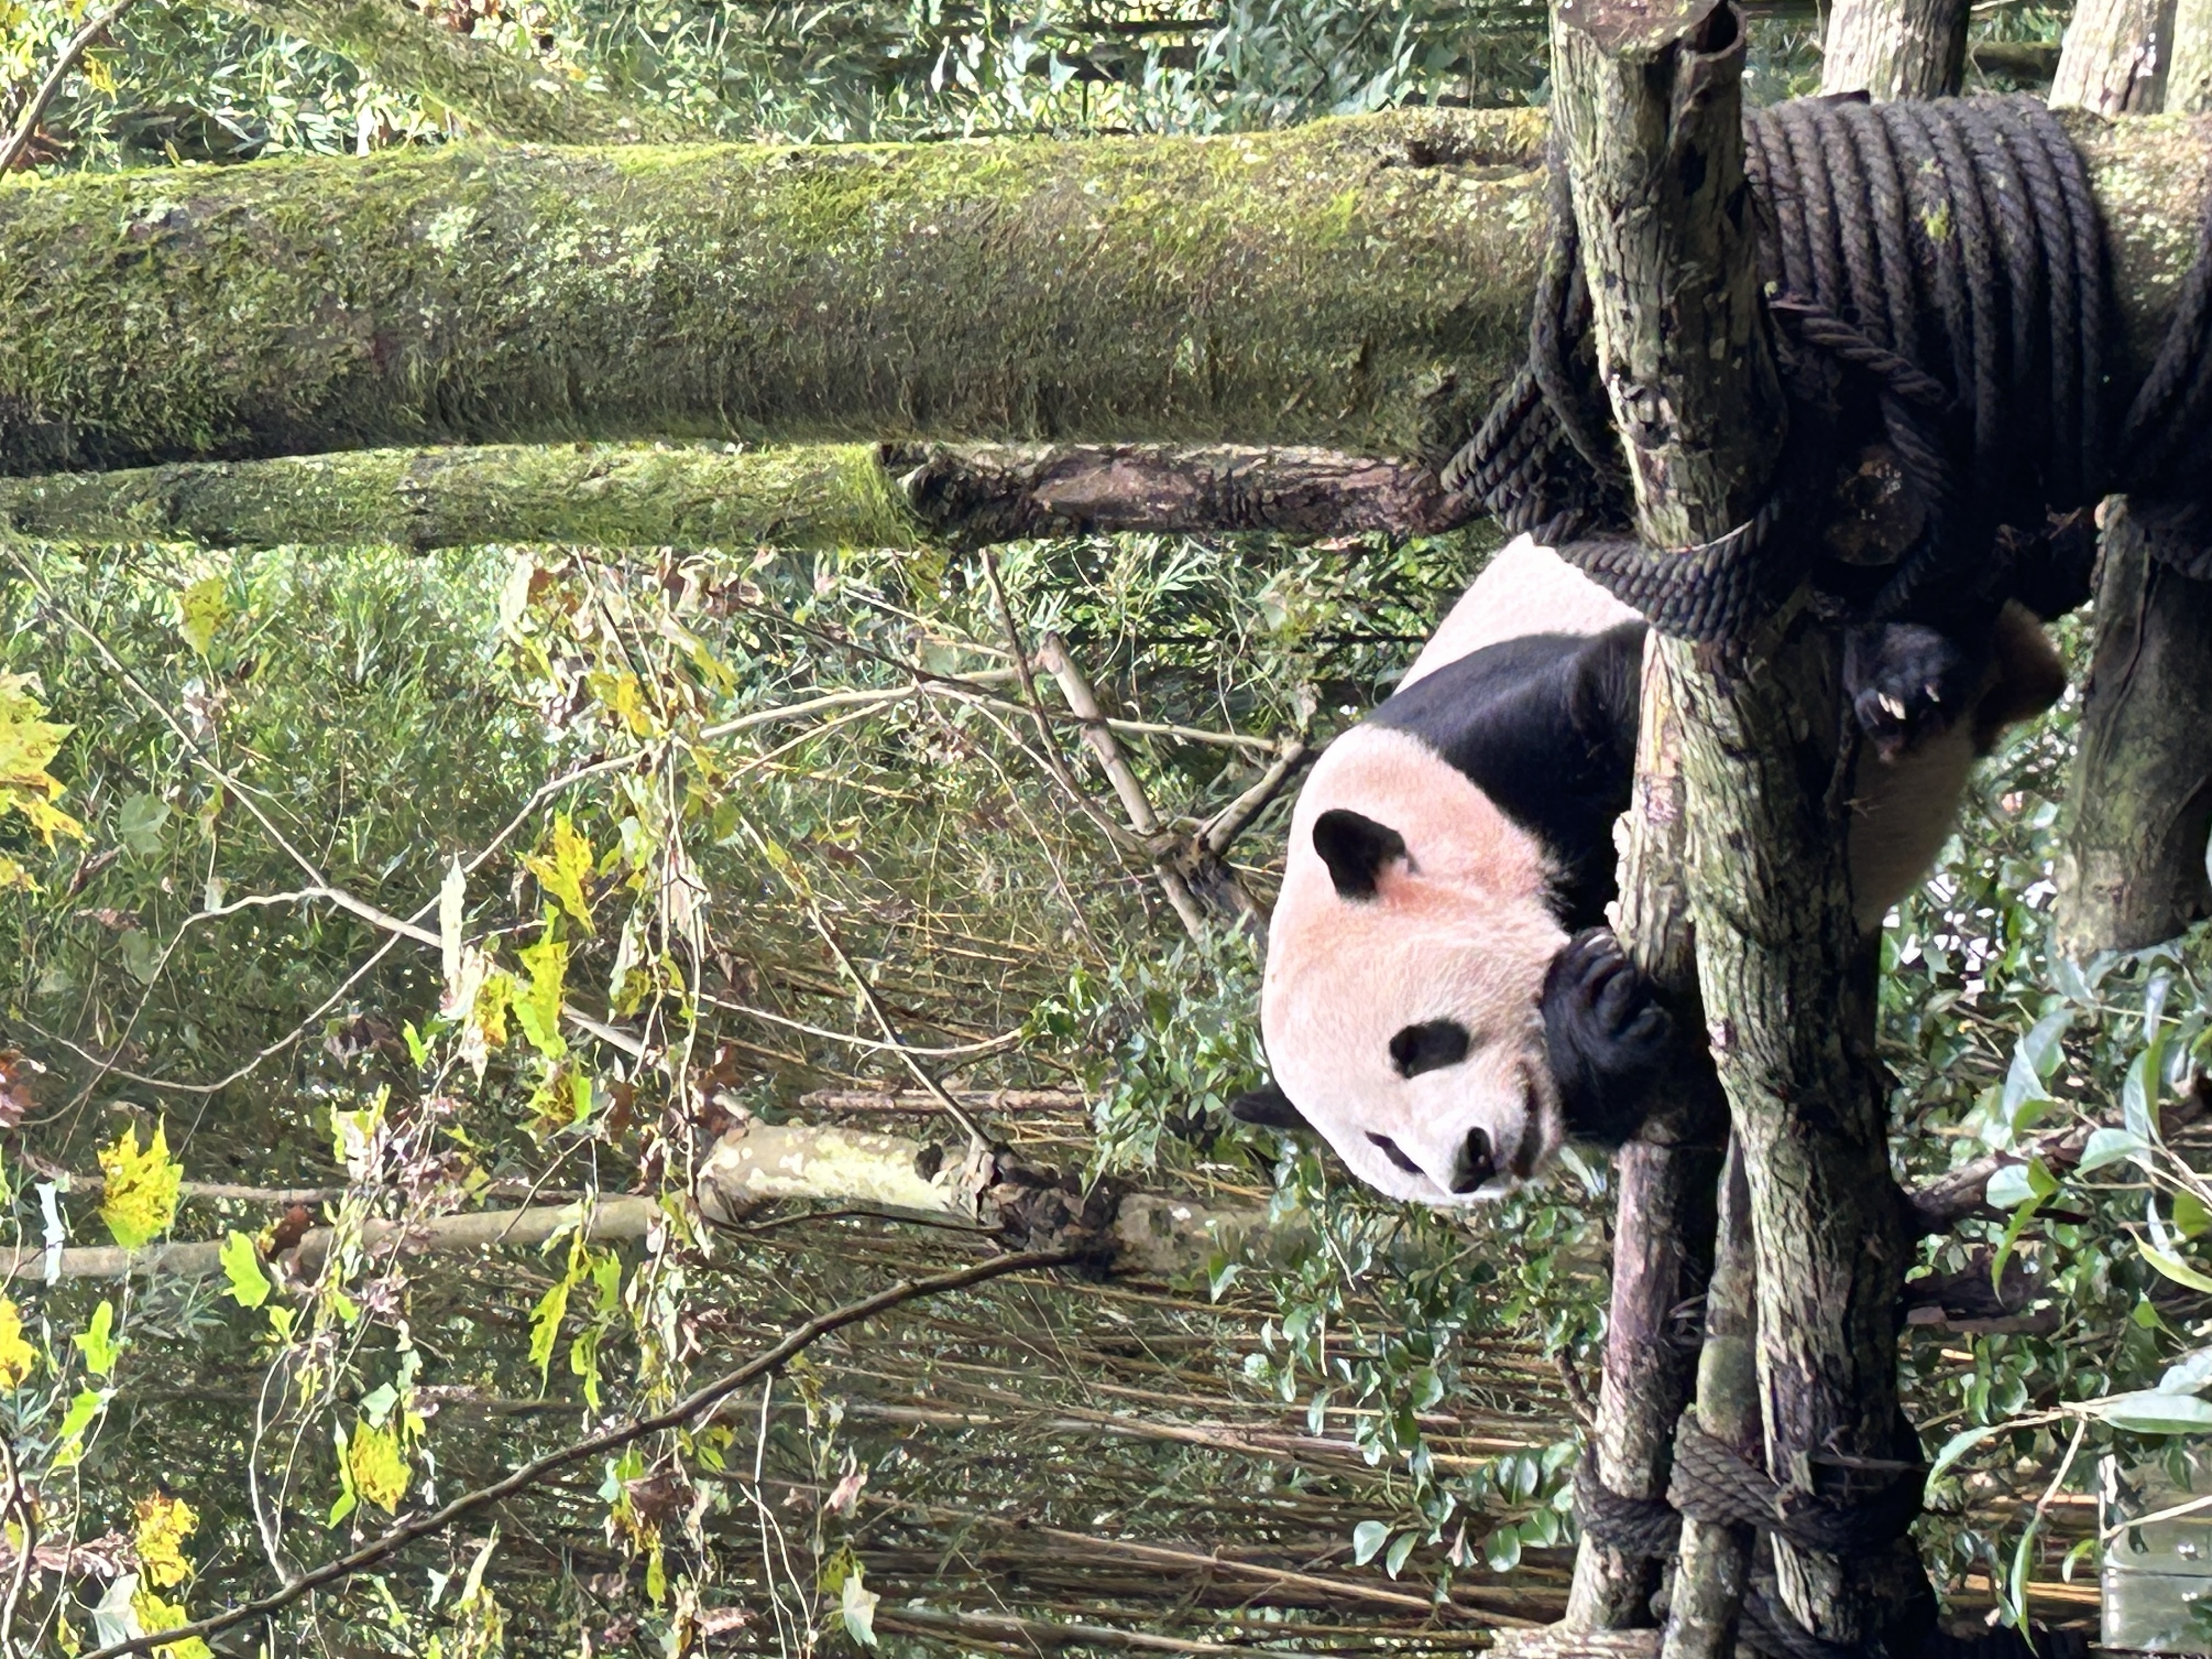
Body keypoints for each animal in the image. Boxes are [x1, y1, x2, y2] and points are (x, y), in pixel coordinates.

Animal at [1231, 534, 2067, 1207]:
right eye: (1390, 1151)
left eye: (1423, 1044)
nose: (1470, 1165)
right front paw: (1594, 1011)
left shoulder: (1485, 752)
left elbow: (1632, 693)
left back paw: (1903, 671)